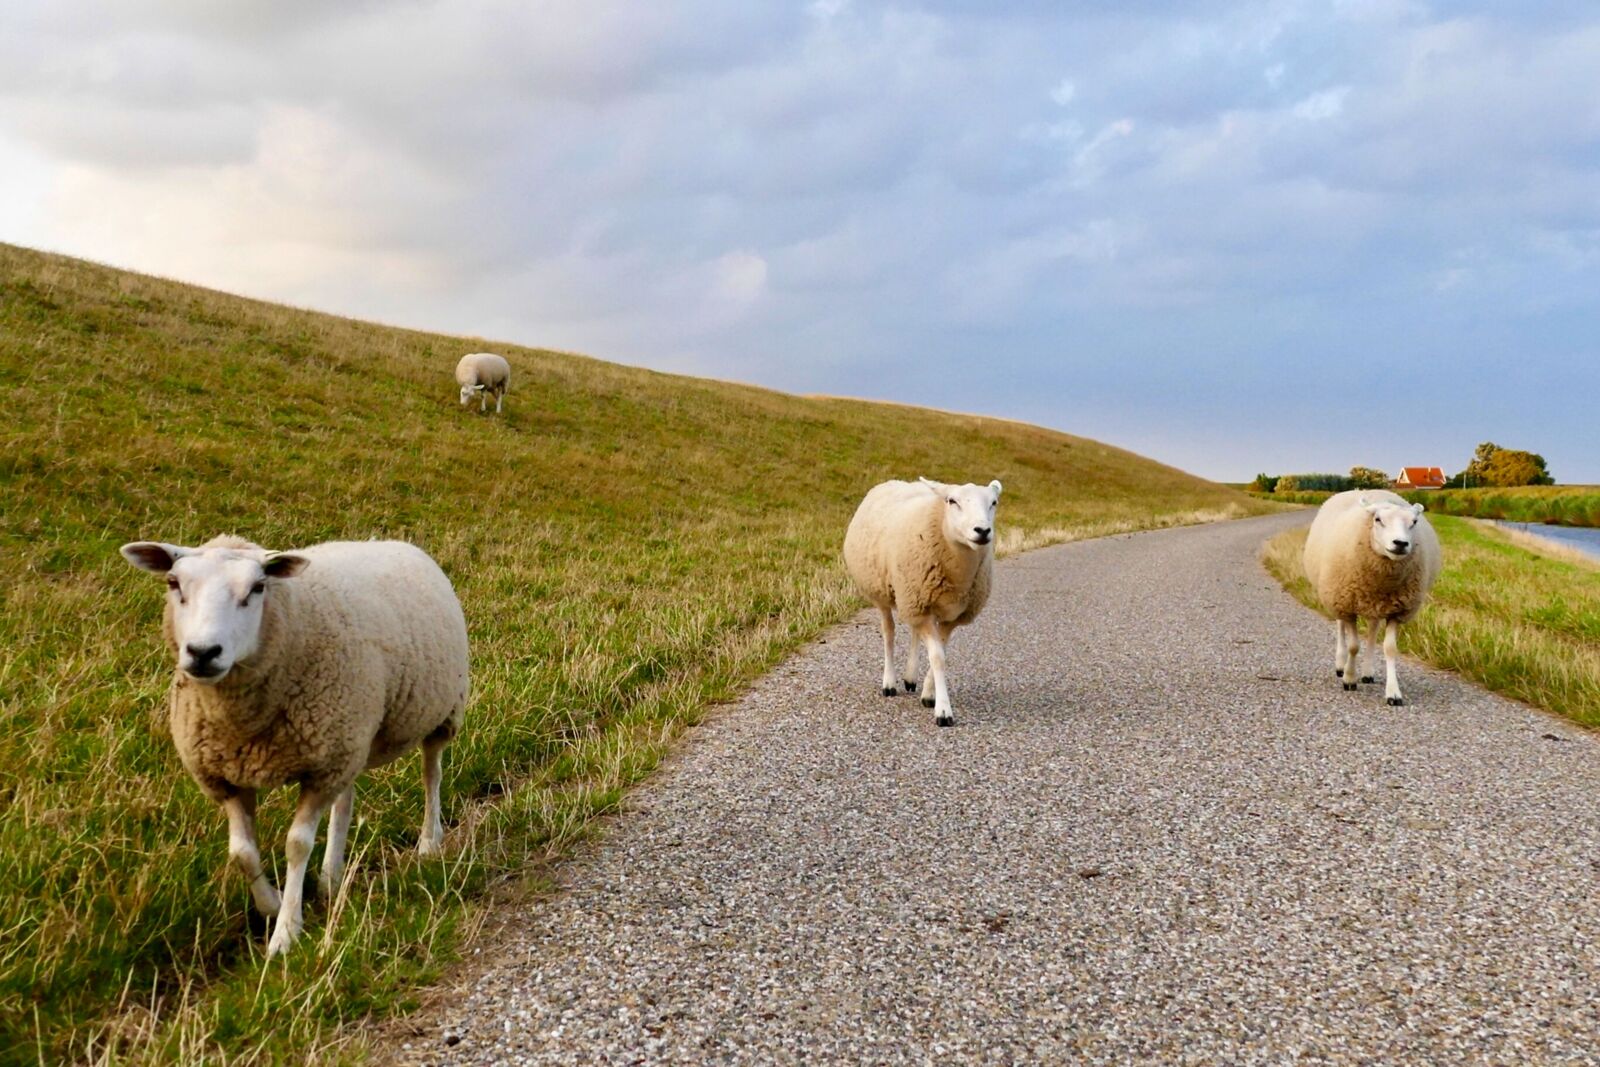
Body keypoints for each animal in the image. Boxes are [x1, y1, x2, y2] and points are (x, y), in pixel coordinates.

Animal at [119, 534, 469, 956]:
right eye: (173, 583)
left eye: (257, 588)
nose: (203, 652)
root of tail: (394, 541)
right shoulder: (227, 776)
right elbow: (242, 852)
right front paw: (270, 904)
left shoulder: (320, 771)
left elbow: (297, 845)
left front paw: (286, 932)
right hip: (350, 737)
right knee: (345, 800)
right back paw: (332, 876)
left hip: (439, 712)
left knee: (431, 772)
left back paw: (429, 842)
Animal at [843, 477, 1002, 726]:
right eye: (952, 501)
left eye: (993, 502)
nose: (982, 530)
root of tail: (894, 481)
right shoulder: (919, 605)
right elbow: (937, 656)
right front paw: (943, 711)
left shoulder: (950, 616)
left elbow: (940, 654)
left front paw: (929, 695)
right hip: (884, 592)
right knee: (889, 631)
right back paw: (889, 682)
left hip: (913, 599)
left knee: (915, 631)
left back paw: (910, 677)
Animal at [1302, 489, 1441, 706]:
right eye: (1378, 519)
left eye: (1414, 522)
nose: (1401, 543)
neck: (1382, 581)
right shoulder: (1347, 604)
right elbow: (1353, 646)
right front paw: (1349, 679)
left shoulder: (1397, 610)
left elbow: (1390, 649)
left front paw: (1393, 692)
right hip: (1337, 597)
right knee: (1341, 627)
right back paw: (1340, 665)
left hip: (1376, 605)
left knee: (1372, 632)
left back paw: (1367, 672)